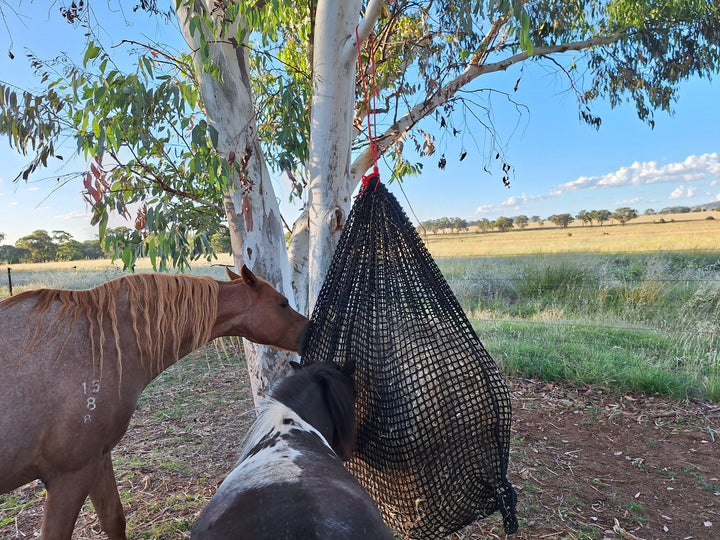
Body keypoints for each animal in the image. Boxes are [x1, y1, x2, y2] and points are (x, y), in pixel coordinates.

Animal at [0, 265, 309, 540]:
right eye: (282, 303)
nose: (311, 327)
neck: (99, 347)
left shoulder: (97, 459)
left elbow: (114, 519)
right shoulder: (69, 476)